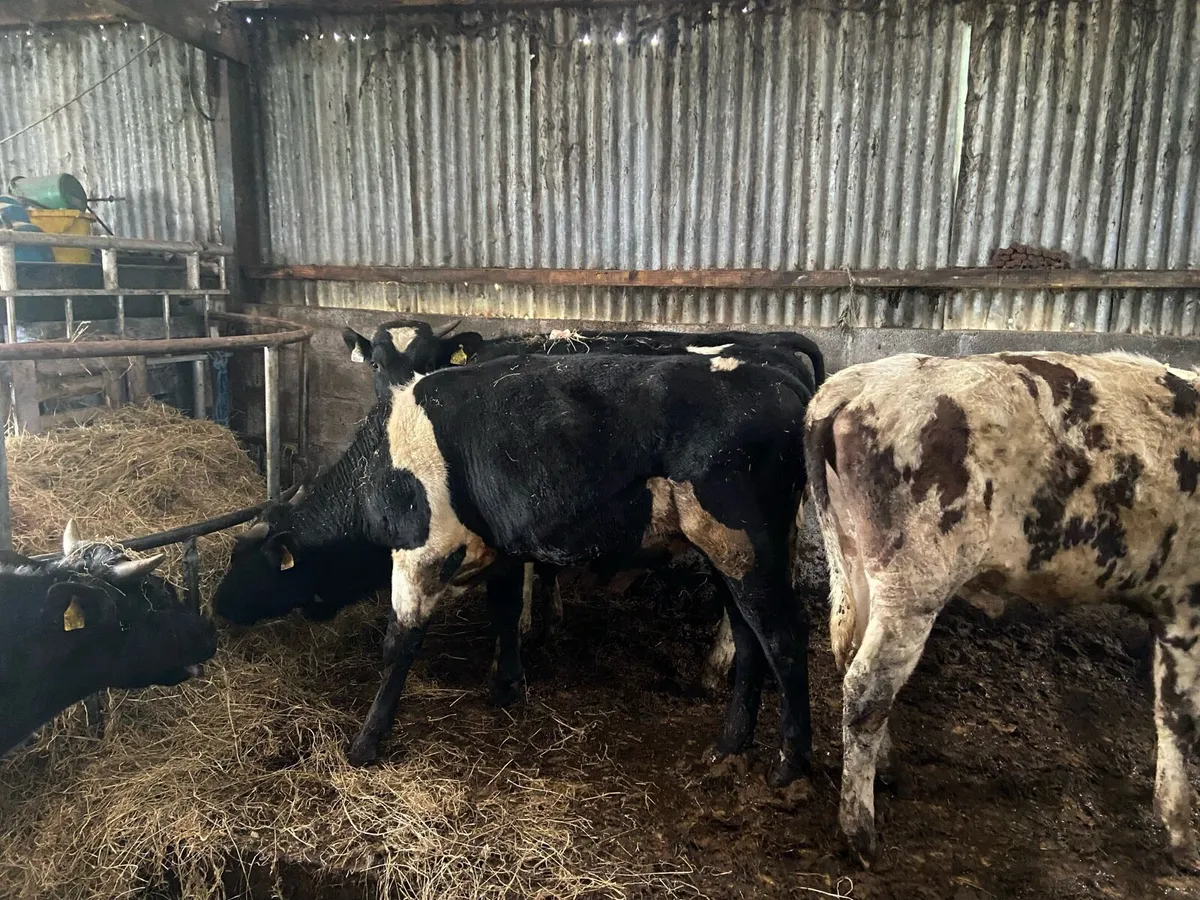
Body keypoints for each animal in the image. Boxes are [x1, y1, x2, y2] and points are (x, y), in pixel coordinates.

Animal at [215, 350, 814, 782]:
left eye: (250, 565)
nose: (218, 605)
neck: (380, 467)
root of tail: (782, 382)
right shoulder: (499, 551)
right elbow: (503, 615)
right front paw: (506, 687)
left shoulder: (421, 554)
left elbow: (398, 645)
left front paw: (366, 741)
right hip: (728, 558)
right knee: (749, 641)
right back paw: (729, 746)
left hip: (746, 550)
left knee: (783, 639)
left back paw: (790, 765)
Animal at [805, 350, 1200, 871]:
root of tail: (855, 383)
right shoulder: (1186, 603)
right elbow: (1179, 716)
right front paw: (1179, 835)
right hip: (913, 581)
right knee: (865, 689)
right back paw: (860, 835)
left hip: (856, 562)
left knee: (851, 657)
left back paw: (887, 771)